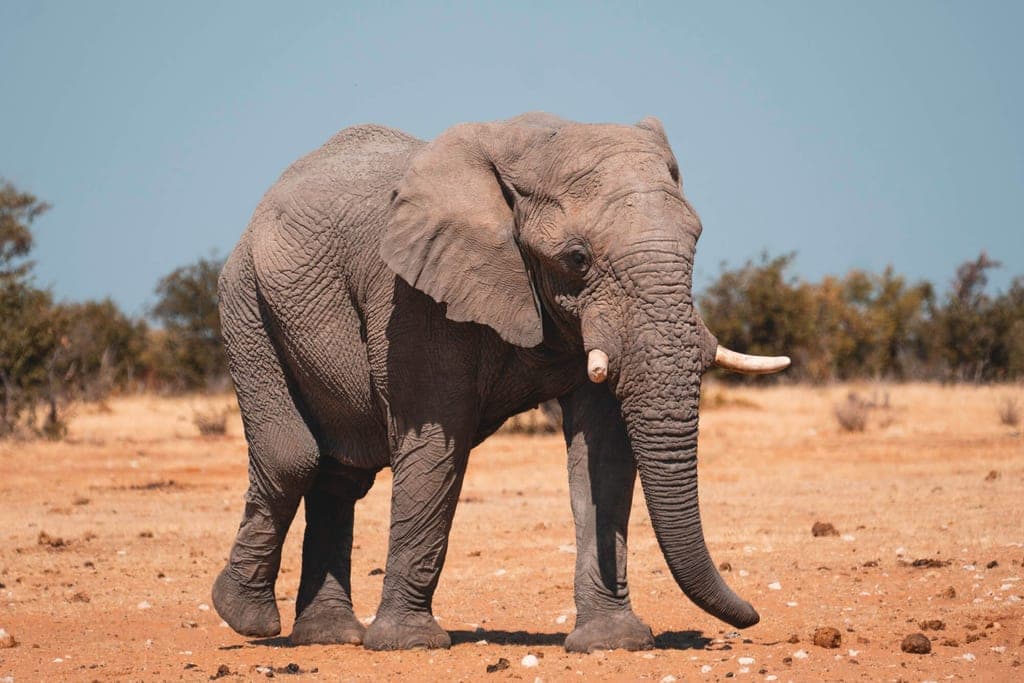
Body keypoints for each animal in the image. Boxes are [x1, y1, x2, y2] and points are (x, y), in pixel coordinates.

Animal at [211, 112, 789, 652]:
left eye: (696, 240)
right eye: (577, 258)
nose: (752, 616)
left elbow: (602, 453)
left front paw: (613, 642)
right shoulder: (414, 296)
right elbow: (435, 446)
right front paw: (410, 644)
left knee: (340, 475)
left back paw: (328, 636)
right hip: (244, 301)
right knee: (293, 457)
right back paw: (244, 617)